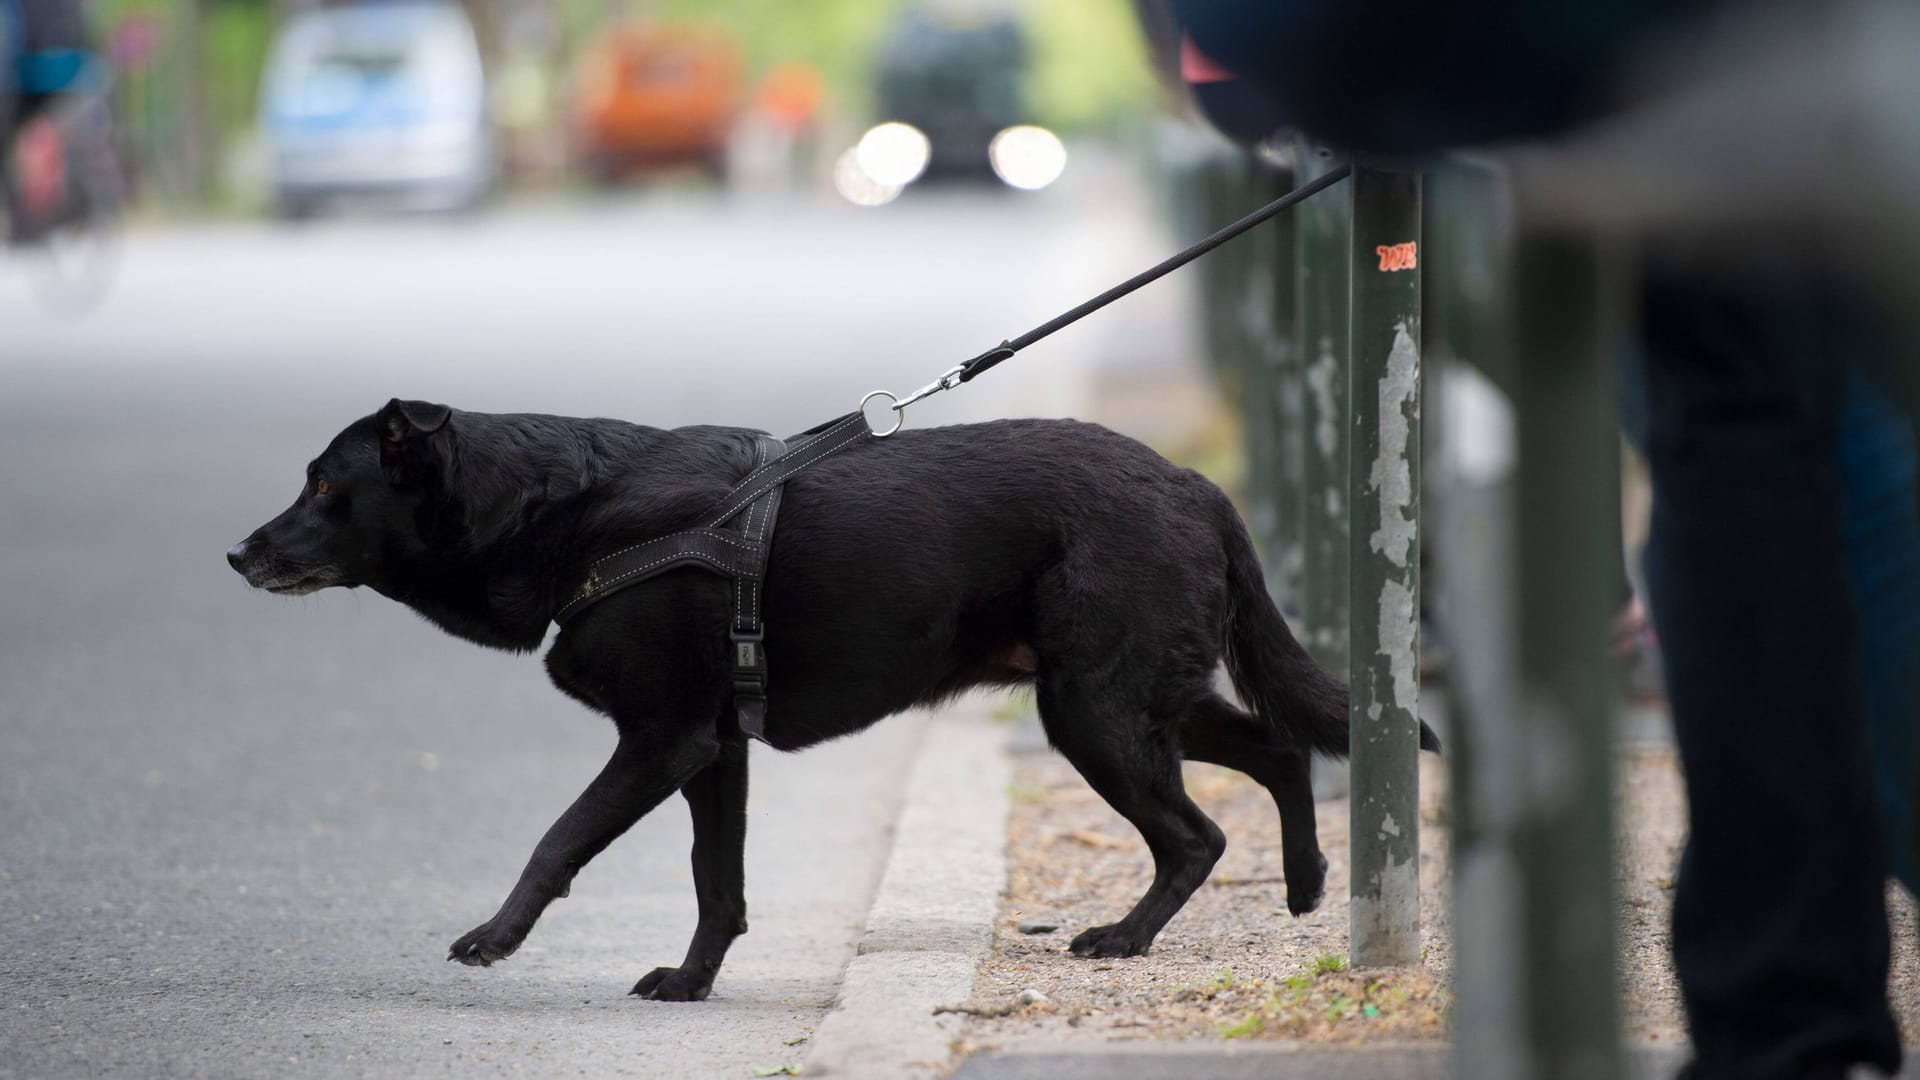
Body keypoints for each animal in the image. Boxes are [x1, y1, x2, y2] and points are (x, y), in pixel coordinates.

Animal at [228, 397, 1443, 999]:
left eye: (327, 485)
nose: (238, 553)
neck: (566, 511)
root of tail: (1196, 484)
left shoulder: (662, 741)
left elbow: (558, 838)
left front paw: (497, 937)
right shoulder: (713, 749)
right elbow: (717, 883)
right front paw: (693, 983)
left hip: (1093, 710)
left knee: (1195, 834)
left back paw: (1126, 939)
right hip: (1135, 696)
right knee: (1280, 752)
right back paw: (1306, 883)